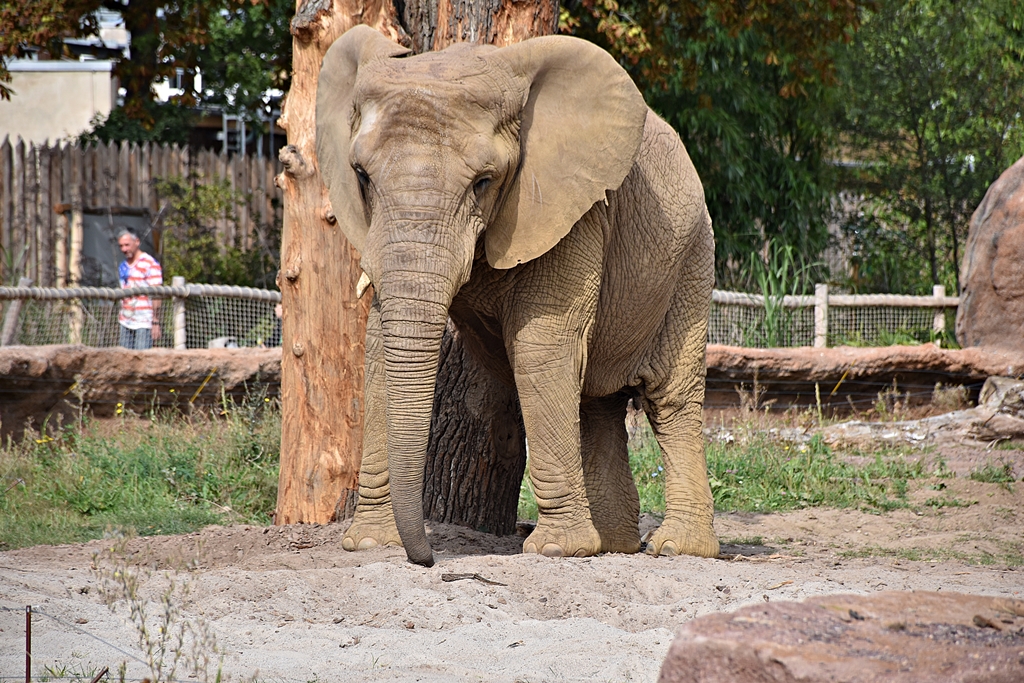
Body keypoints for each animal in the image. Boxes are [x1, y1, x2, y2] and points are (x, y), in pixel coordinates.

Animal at [316, 25, 718, 567]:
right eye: (361, 175)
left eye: (484, 182)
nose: (428, 558)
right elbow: (380, 345)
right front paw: (369, 545)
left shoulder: (569, 209)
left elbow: (539, 344)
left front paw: (556, 550)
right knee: (596, 403)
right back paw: (614, 546)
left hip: (693, 257)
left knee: (671, 400)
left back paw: (677, 548)